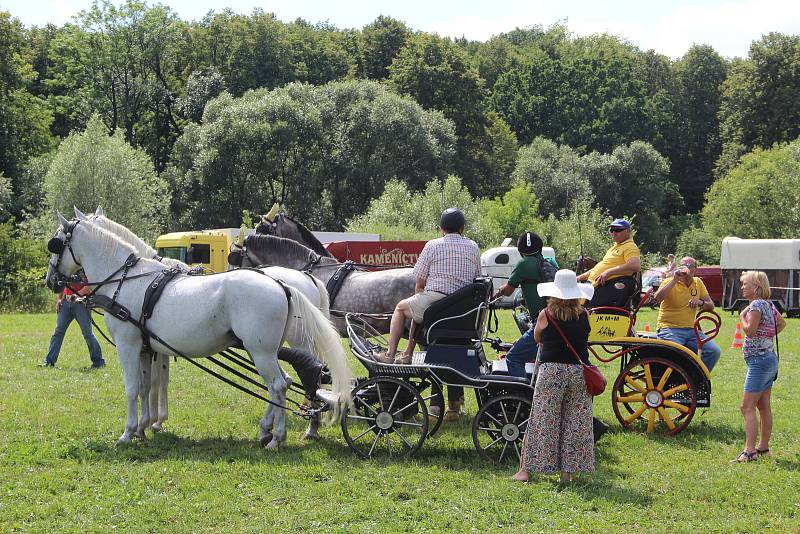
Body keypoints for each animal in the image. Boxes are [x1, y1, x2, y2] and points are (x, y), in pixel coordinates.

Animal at [45, 216, 352, 450]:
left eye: (56, 243)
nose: (51, 280)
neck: (126, 278)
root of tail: (284, 285)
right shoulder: (146, 348)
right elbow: (146, 387)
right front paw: (144, 427)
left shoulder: (127, 343)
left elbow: (132, 388)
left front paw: (128, 432)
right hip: (269, 350)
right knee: (285, 382)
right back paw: (270, 430)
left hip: (263, 350)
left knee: (278, 385)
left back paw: (277, 437)